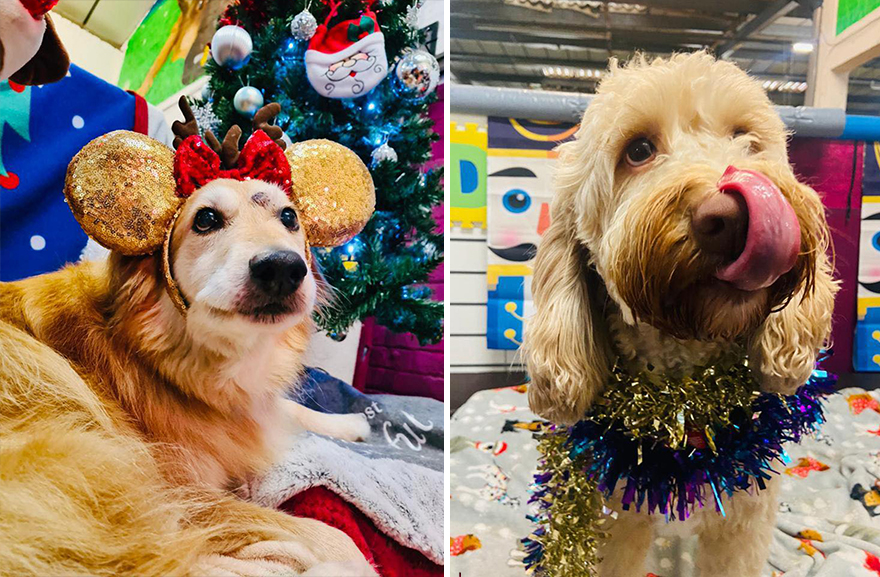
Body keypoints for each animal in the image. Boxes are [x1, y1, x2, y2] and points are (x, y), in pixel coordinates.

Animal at [524, 50, 840, 576]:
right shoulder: (615, 521)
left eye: (746, 138)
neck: (684, 400)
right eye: (638, 150)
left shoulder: (742, 522)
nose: (731, 218)